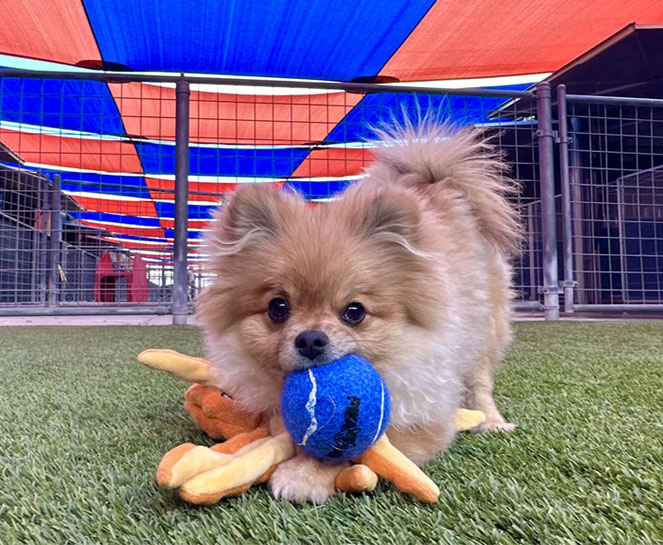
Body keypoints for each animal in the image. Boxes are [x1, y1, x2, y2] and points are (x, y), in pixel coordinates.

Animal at [197, 122, 524, 502]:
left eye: (355, 312)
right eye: (278, 308)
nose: (310, 339)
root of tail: (436, 179)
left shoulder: (424, 414)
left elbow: (358, 446)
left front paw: (305, 474)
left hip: (486, 333)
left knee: (480, 383)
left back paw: (492, 422)